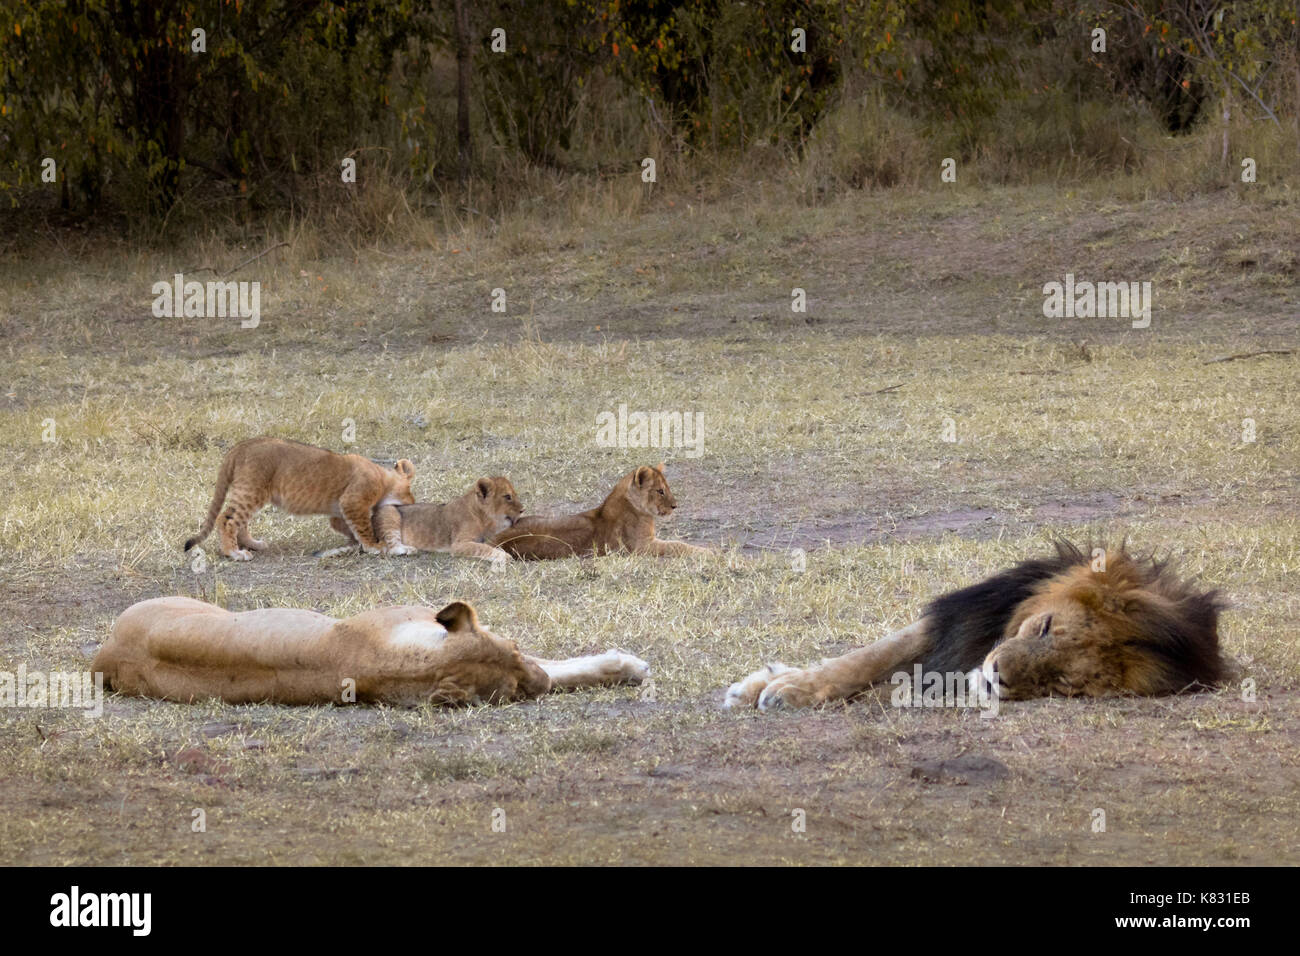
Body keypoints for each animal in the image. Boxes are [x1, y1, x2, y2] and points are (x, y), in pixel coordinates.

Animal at [488, 465, 712, 561]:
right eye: (660, 491)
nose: (675, 506)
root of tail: (494, 541)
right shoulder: (642, 547)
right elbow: (678, 545)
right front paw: (709, 552)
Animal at [728, 546, 1222, 712]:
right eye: (1045, 627)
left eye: (1062, 681)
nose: (995, 673)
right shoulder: (957, 623)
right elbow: (866, 658)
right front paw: (780, 687)